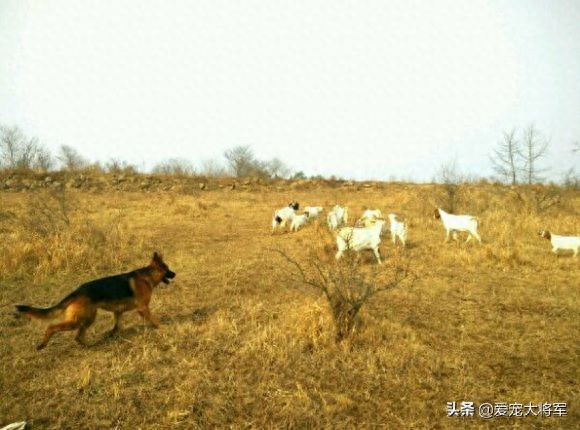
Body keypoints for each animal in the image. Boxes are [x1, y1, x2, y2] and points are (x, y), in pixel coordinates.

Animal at [15, 252, 174, 350]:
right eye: (168, 269)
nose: (175, 274)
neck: (148, 276)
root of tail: (77, 291)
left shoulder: (118, 311)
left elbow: (117, 325)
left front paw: (113, 334)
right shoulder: (143, 308)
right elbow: (154, 320)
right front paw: (162, 328)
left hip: (88, 319)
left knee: (78, 336)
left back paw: (89, 346)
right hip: (78, 320)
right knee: (52, 327)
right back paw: (42, 344)